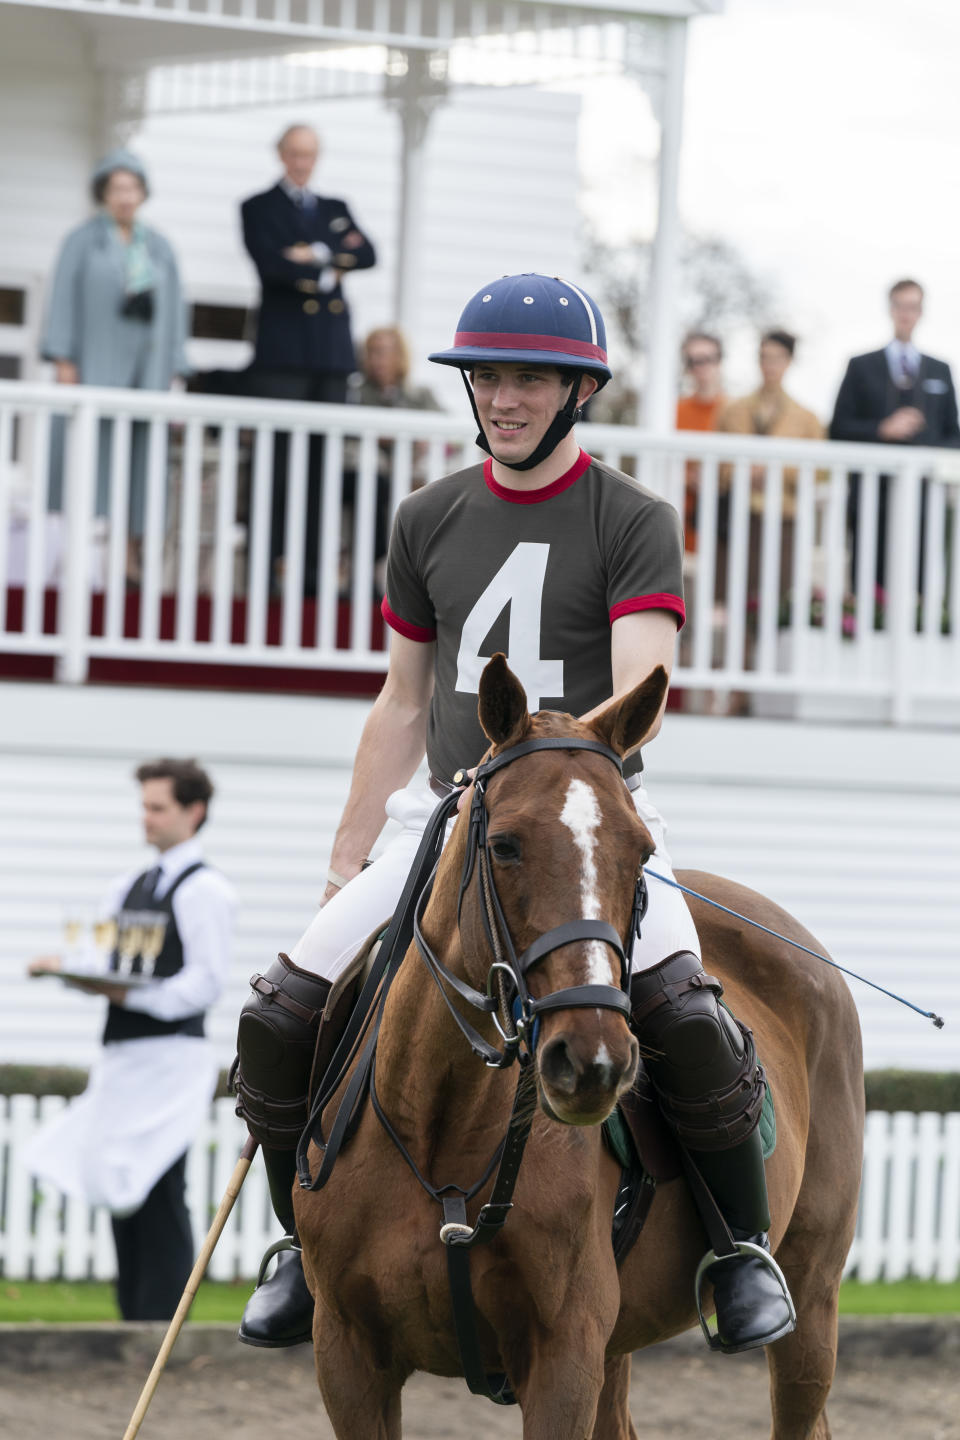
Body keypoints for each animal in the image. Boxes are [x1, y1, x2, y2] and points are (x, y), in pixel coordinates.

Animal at [296, 656, 869, 1440]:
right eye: (504, 845)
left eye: (642, 853)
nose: (593, 1062)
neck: (437, 1125)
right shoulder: (348, 1355)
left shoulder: (563, 1357)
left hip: (810, 1297)